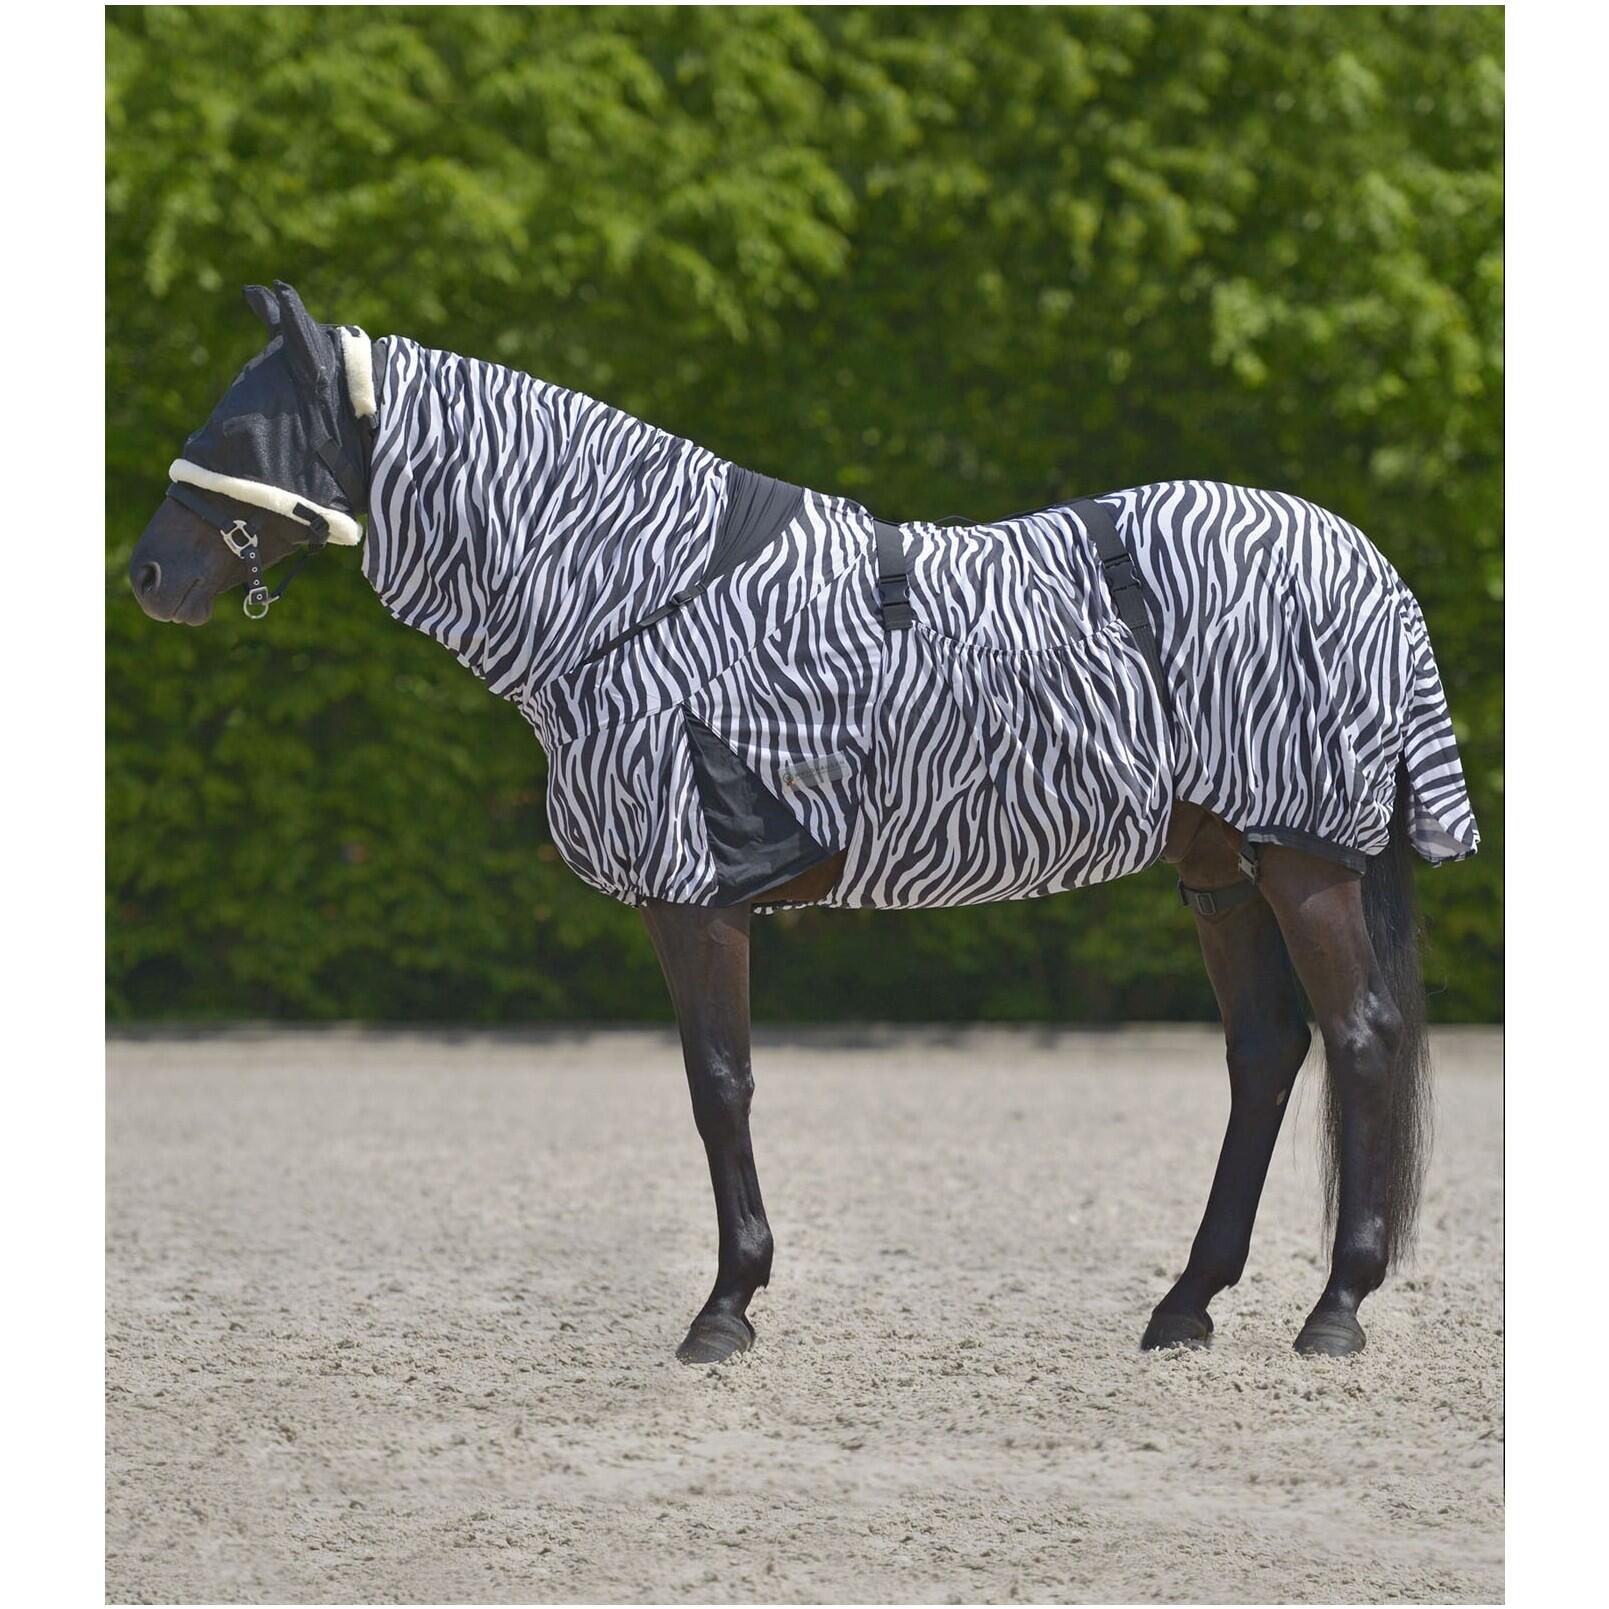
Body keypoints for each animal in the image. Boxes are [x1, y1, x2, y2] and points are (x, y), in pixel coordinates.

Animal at [130, 281, 1479, 1364]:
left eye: (241, 428)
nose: (146, 576)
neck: (634, 593)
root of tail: (1366, 563)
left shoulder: (693, 890)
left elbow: (718, 1084)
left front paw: (724, 1308)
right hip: (1218, 865)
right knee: (1264, 1053)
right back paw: (1185, 1305)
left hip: (1302, 860)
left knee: (1358, 1039)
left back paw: (1335, 1310)